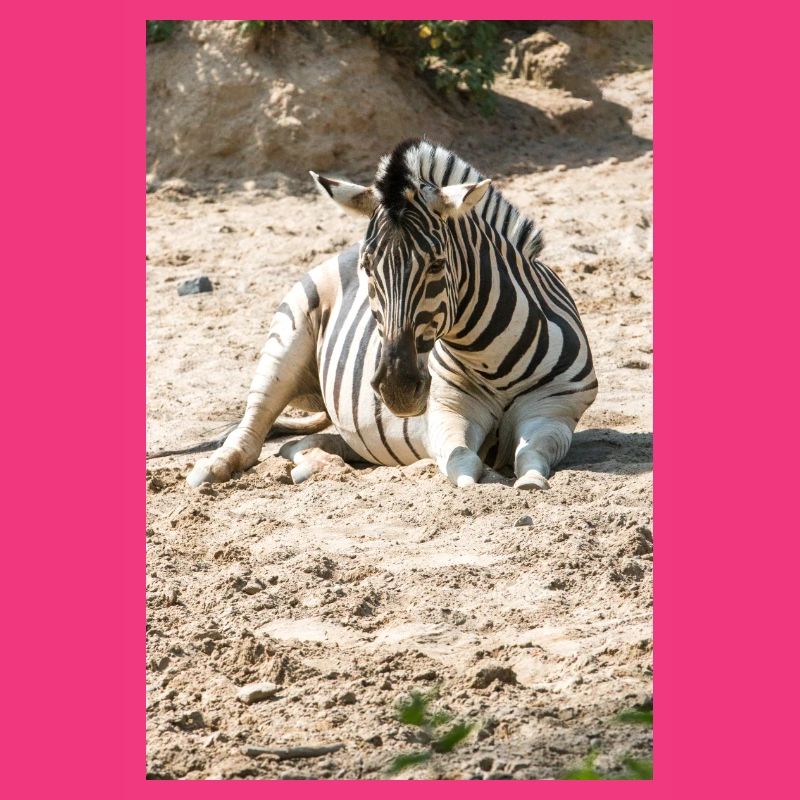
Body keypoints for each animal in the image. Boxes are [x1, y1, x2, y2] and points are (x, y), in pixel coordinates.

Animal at [186, 139, 597, 490]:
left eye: (436, 265)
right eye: (368, 267)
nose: (396, 388)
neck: (488, 357)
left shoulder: (555, 410)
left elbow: (531, 454)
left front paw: (529, 480)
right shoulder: (447, 411)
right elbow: (463, 462)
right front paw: (485, 479)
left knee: (304, 444)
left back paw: (314, 465)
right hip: (286, 340)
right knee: (254, 423)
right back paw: (212, 468)